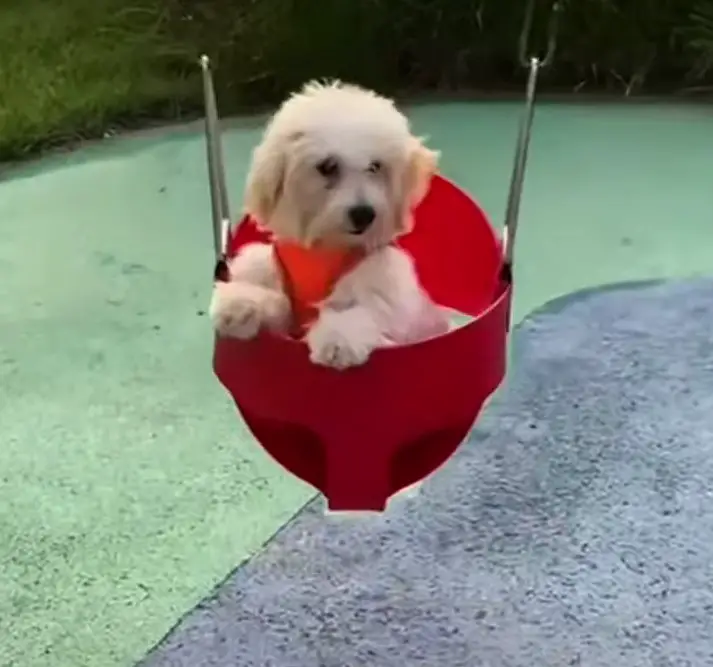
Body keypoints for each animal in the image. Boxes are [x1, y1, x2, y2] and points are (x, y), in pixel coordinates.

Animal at [209, 82, 448, 370]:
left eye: (375, 166)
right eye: (328, 166)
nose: (364, 214)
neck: (325, 246)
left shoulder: (379, 291)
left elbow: (358, 312)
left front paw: (339, 339)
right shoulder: (284, 307)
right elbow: (275, 303)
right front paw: (240, 305)